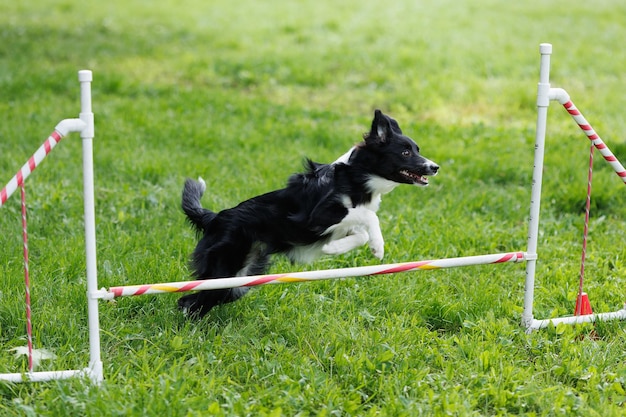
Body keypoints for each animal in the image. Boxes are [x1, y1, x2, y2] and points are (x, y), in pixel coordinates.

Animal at [178, 109, 436, 316]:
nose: (435, 167)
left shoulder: (339, 224)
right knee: (192, 300)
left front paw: (334, 248)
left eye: (417, 149)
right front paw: (378, 247)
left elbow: (360, 232)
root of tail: (214, 218)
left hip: (241, 278)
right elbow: (368, 215)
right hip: (225, 270)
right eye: (405, 153)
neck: (357, 176)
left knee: (196, 299)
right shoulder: (319, 215)